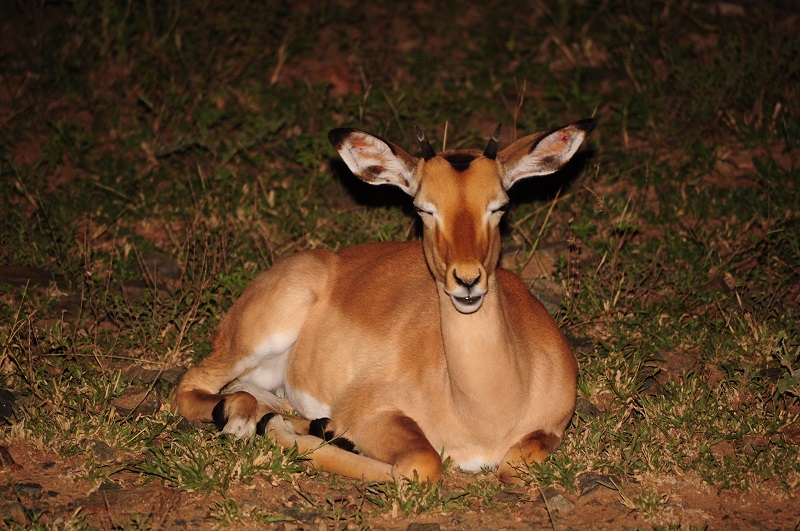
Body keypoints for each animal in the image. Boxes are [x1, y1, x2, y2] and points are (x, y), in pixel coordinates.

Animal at [173, 118, 595, 483]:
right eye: (423, 207)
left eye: (500, 205)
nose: (467, 280)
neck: (486, 413)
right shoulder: (368, 412)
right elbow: (423, 464)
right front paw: (289, 432)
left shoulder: (549, 429)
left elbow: (513, 466)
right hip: (254, 341)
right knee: (191, 384)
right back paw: (246, 420)